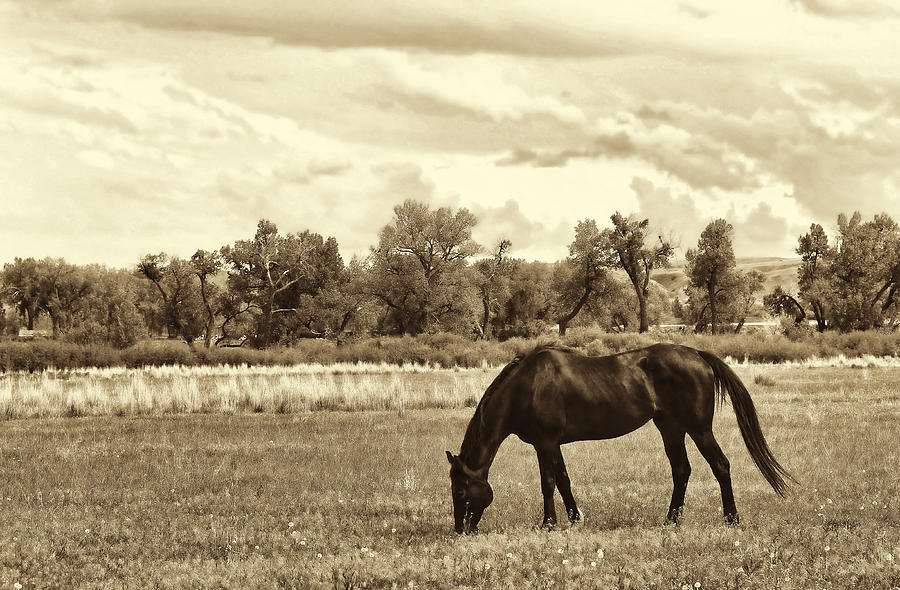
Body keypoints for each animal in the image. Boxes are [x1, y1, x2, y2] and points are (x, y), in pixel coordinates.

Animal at [446, 344, 792, 536]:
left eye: (460, 490)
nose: (461, 530)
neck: (526, 387)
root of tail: (697, 354)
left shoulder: (545, 443)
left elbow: (548, 482)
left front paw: (549, 523)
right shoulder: (554, 445)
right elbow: (564, 480)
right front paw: (575, 519)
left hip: (698, 429)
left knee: (720, 465)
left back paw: (731, 519)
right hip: (671, 428)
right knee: (682, 470)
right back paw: (671, 520)